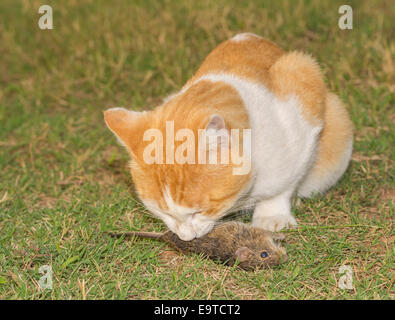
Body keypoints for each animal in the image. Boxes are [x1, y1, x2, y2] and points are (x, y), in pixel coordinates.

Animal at [103, 33, 354, 241]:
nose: (186, 238)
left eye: (198, 211)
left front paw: (272, 215)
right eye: (163, 212)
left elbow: (284, 185)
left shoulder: (304, 111)